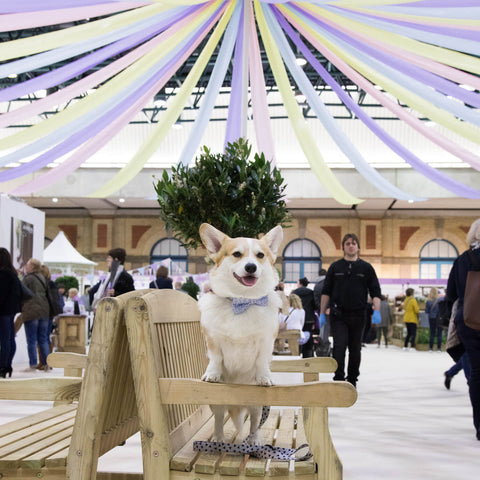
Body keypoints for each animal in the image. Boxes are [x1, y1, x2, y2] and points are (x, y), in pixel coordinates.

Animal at [197, 221, 284, 442]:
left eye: (260, 255)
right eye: (236, 254)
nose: (251, 266)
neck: (242, 301)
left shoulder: (265, 342)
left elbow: (262, 362)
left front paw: (264, 378)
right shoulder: (213, 339)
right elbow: (216, 359)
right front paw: (213, 374)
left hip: (255, 405)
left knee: (253, 422)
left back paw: (253, 441)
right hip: (218, 404)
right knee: (219, 420)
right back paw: (219, 441)